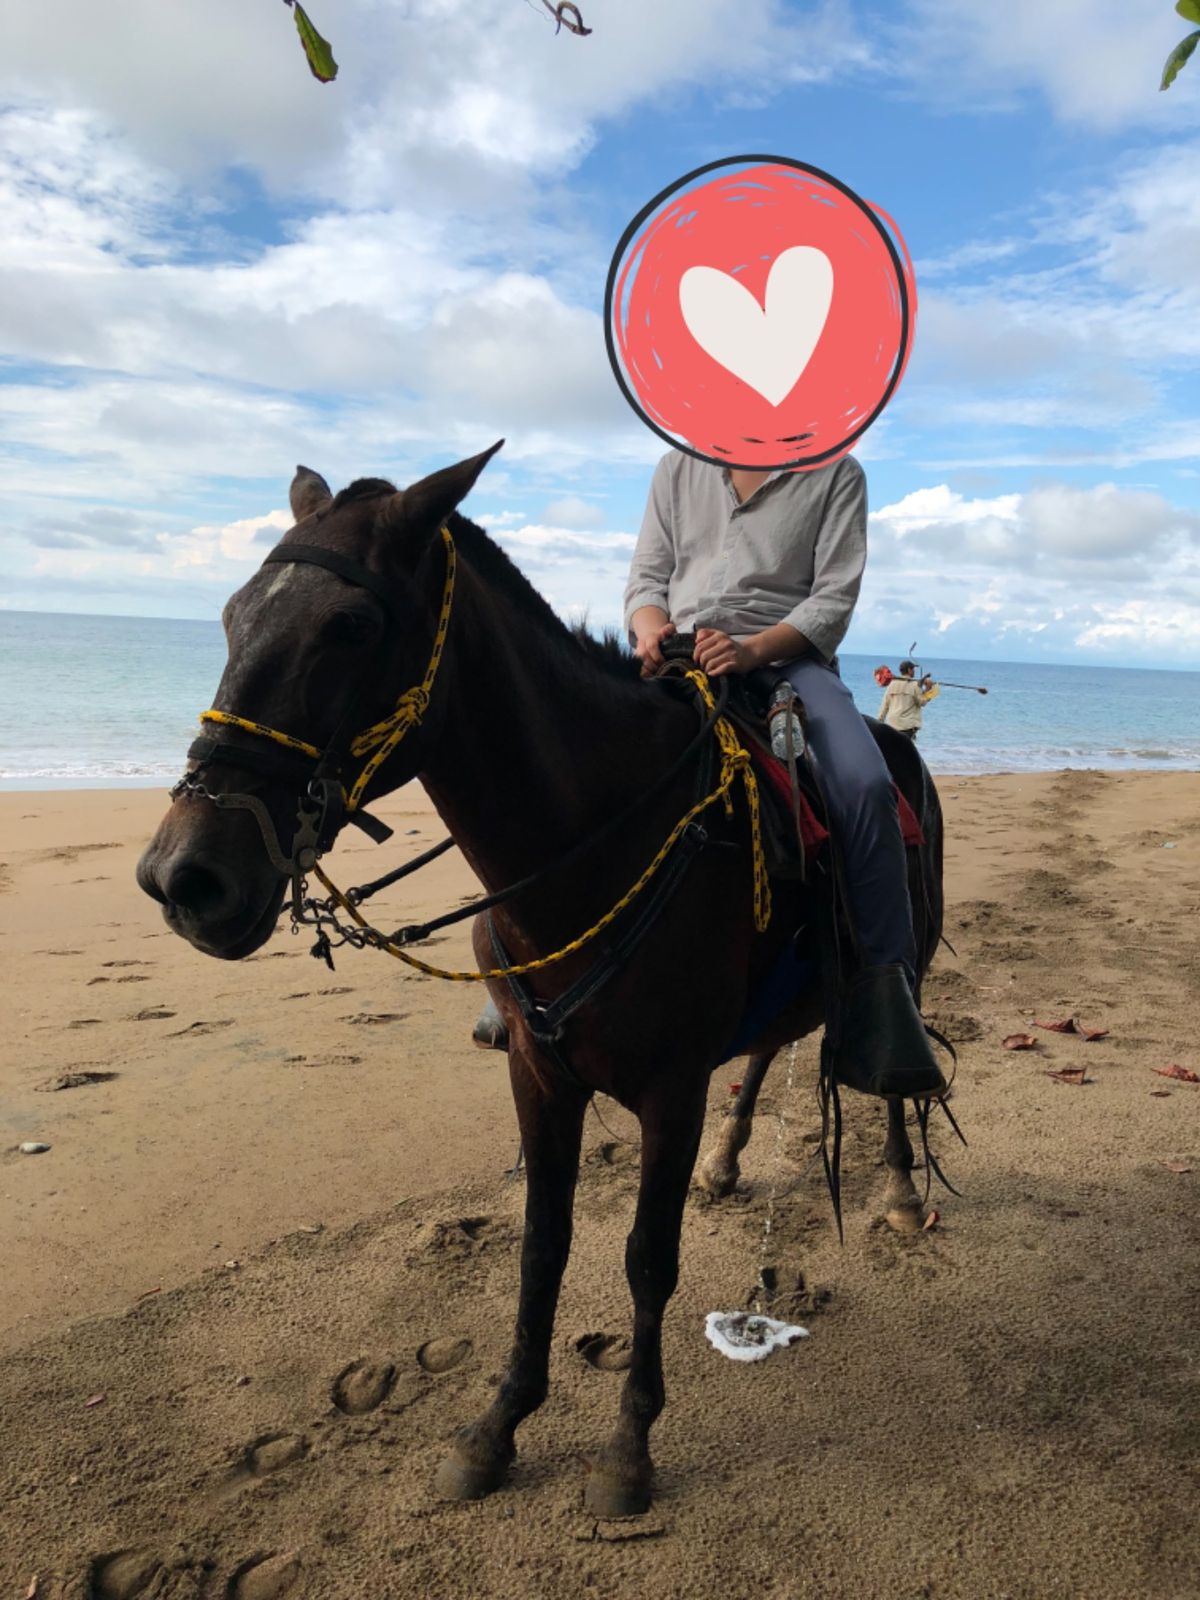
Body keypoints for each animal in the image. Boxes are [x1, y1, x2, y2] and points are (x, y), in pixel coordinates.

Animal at [137, 444, 947, 1518]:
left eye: (351, 627)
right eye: (233, 615)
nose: (182, 876)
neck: (594, 840)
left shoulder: (670, 1090)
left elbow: (647, 1259)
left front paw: (629, 1450)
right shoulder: (536, 1071)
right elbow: (540, 1248)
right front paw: (497, 1428)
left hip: (909, 960)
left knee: (892, 1071)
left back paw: (895, 1186)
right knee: (773, 1040)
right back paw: (732, 1162)